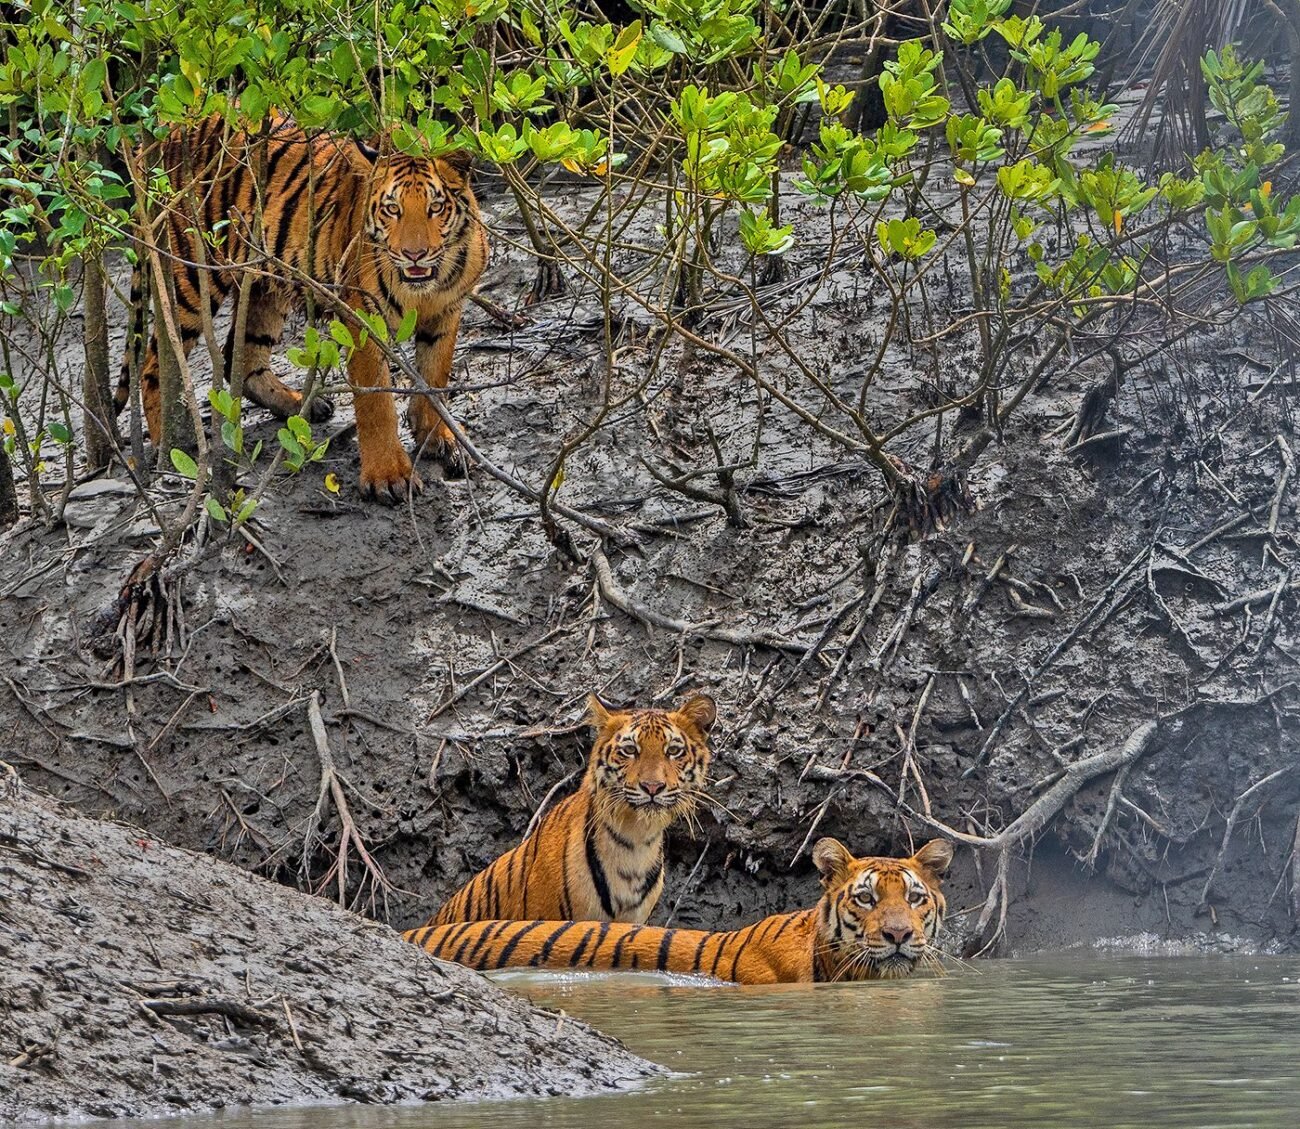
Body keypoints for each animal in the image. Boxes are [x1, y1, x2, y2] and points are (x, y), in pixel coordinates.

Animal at [114, 114, 488, 502]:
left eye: (435, 208)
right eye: (392, 209)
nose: (415, 254)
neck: (423, 289)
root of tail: (160, 133)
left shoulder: (446, 310)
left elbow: (434, 377)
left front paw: (439, 439)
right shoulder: (362, 319)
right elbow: (376, 402)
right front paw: (389, 476)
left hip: (262, 284)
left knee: (240, 354)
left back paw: (297, 404)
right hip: (191, 276)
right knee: (154, 365)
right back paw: (169, 448)